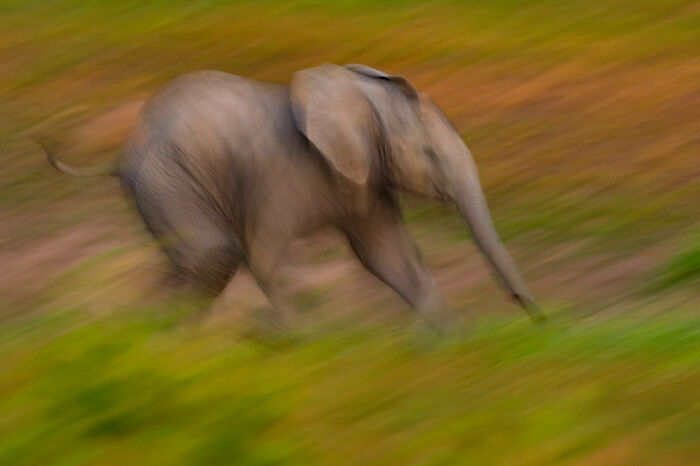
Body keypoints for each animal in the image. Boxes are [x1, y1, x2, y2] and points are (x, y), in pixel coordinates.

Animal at [40, 63, 543, 328]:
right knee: (214, 254)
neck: (358, 95)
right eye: (431, 156)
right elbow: (267, 254)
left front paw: (445, 338)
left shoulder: (366, 181)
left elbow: (388, 257)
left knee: (191, 262)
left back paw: (155, 332)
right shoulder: (276, 176)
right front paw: (300, 341)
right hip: (168, 180)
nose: (537, 318)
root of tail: (124, 150)